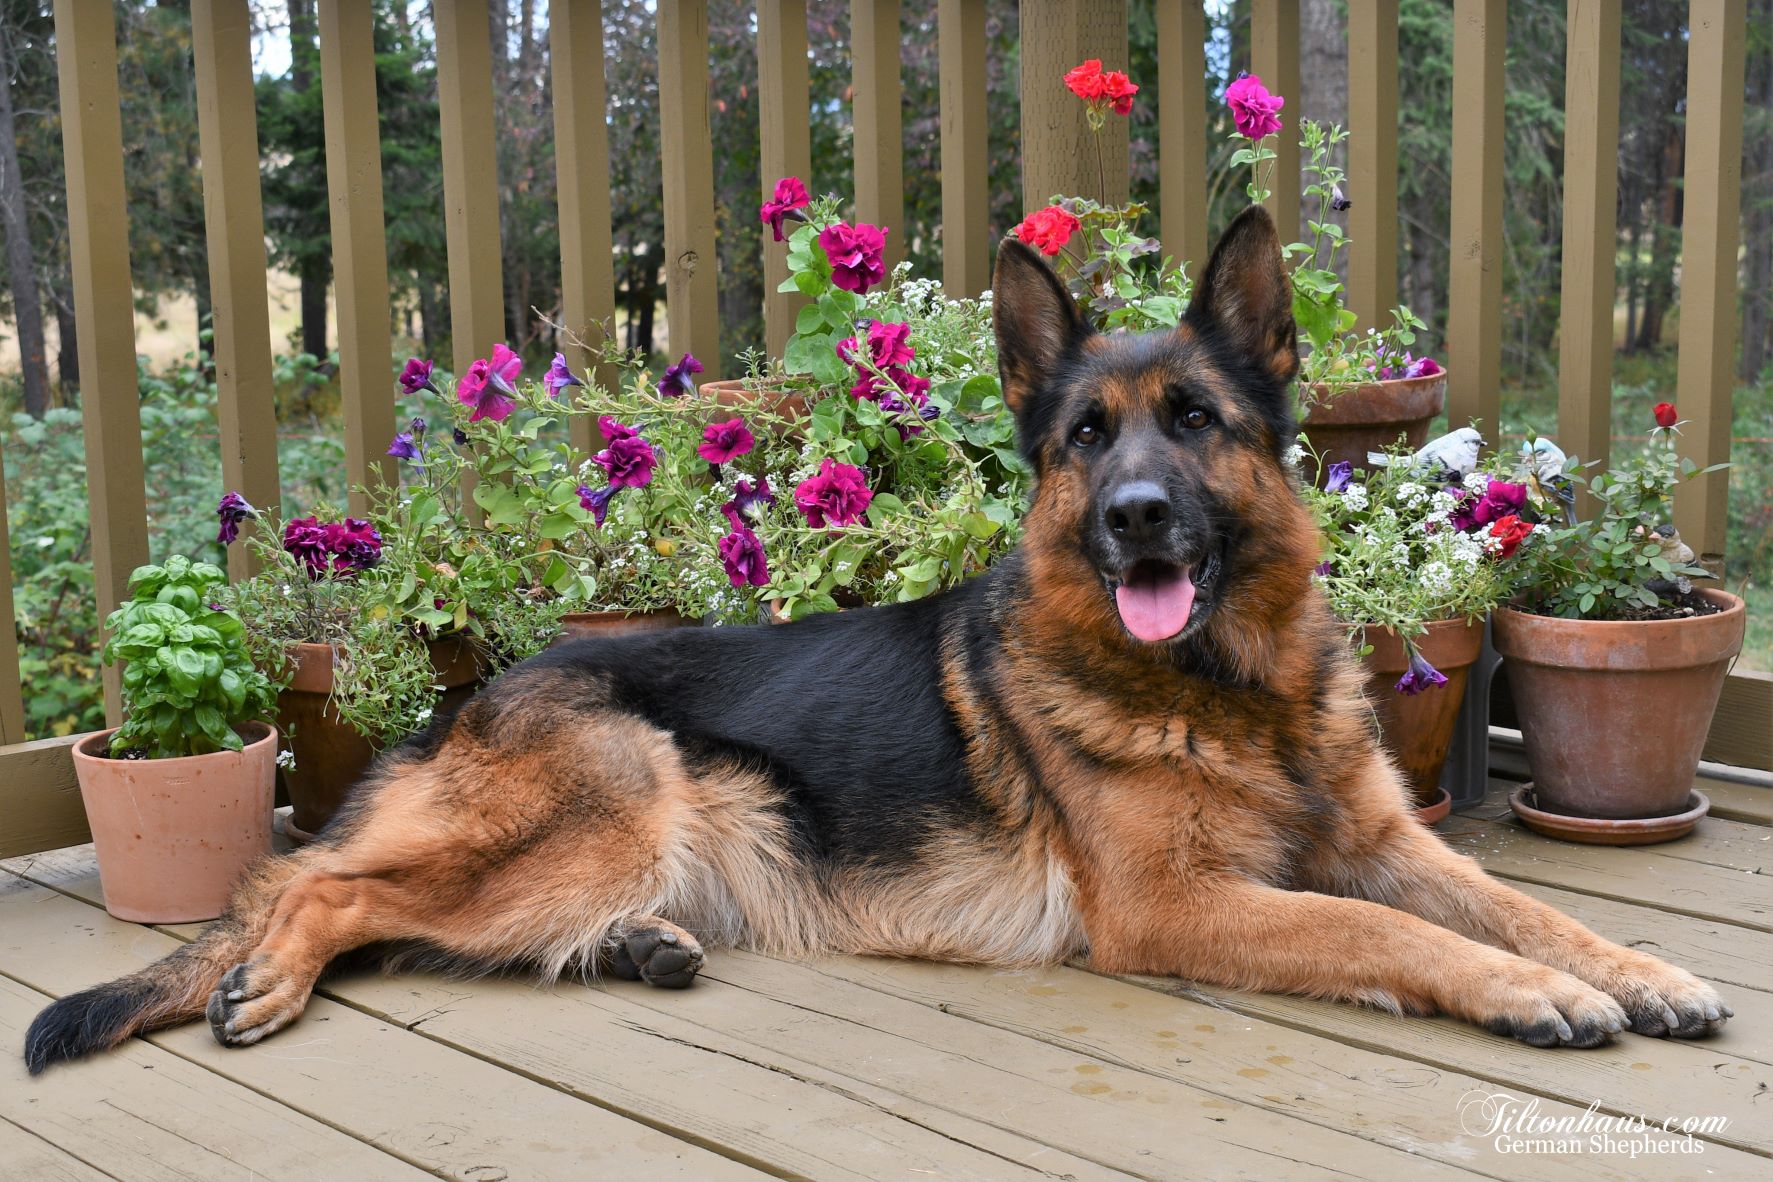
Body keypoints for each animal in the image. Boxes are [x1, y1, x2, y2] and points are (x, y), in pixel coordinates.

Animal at [24, 208, 1730, 1077]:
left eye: (1194, 422)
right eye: (1086, 438)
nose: (1135, 520)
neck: (1225, 691)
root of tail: (471, 697)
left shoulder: (1386, 838)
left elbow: (1516, 900)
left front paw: (1635, 966)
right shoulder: (1182, 907)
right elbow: (1396, 937)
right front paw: (1526, 994)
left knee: (400, 912)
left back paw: (637, 945)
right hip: (608, 803)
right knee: (320, 888)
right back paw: (275, 975)